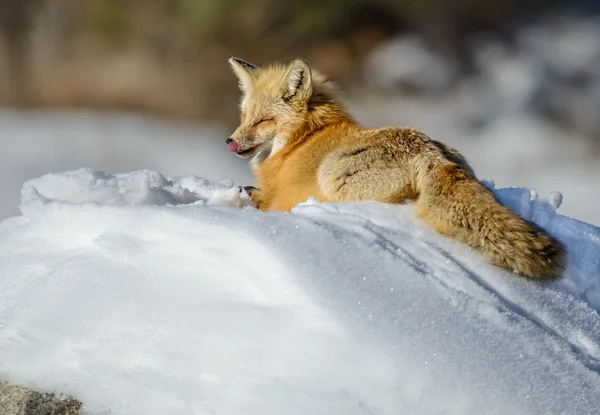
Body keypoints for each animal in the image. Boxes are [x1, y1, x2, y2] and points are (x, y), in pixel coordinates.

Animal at [225, 57, 568, 280]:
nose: (229, 142)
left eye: (264, 121)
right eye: (243, 116)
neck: (303, 137)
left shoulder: (281, 196)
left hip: (334, 175)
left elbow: (266, 202)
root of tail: (430, 153)